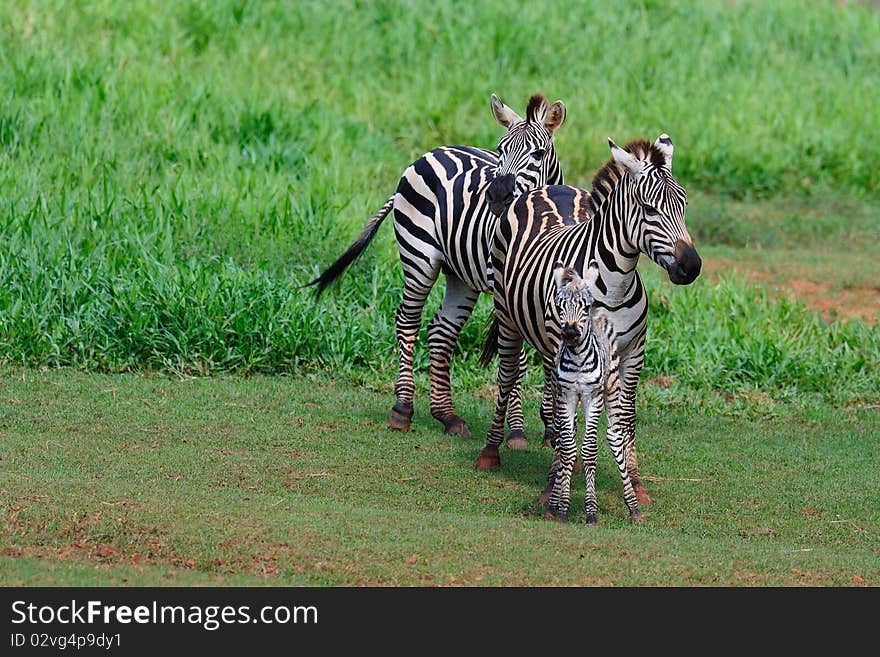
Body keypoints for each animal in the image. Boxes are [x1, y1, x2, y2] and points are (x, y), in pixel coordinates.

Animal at [310, 92, 568, 446]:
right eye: (500, 148)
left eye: (538, 154)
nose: (496, 197)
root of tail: (432, 152)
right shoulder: (507, 290)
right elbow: (517, 357)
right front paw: (517, 429)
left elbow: (547, 353)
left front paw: (551, 427)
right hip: (419, 256)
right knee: (408, 320)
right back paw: (403, 408)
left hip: (461, 275)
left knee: (440, 331)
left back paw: (448, 416)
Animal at [552, 262, 640, 524]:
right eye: (559, 306)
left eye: (585, 306)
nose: (570, 334)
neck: (578, 360)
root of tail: (601, 316)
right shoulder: (568, 395)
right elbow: (568, 448)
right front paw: (561, 506)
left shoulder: (594, 396)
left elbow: (590, 450)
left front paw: (591, 510)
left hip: (612, 389)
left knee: (615, 436)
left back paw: (633, 506)